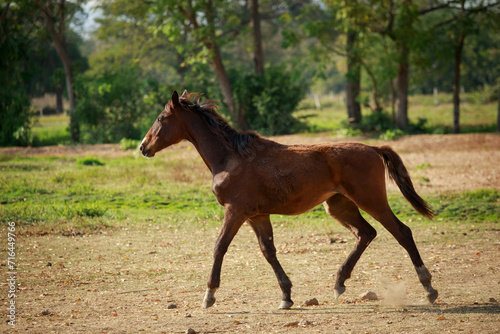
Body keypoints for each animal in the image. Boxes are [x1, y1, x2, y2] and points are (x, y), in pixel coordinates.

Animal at [140, 90, 438, 310]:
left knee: (402, 232)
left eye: (161, 117)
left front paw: (209, 295)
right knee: (366, 233)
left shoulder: (235, 211)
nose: (143, 147)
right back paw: (339, 283)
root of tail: (374, 148)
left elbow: (219, 247)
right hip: (339, 205)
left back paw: (429, 288)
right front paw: (286, 296)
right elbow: (268, 251)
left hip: (371, 200)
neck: (231, 158)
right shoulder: (257, 215)